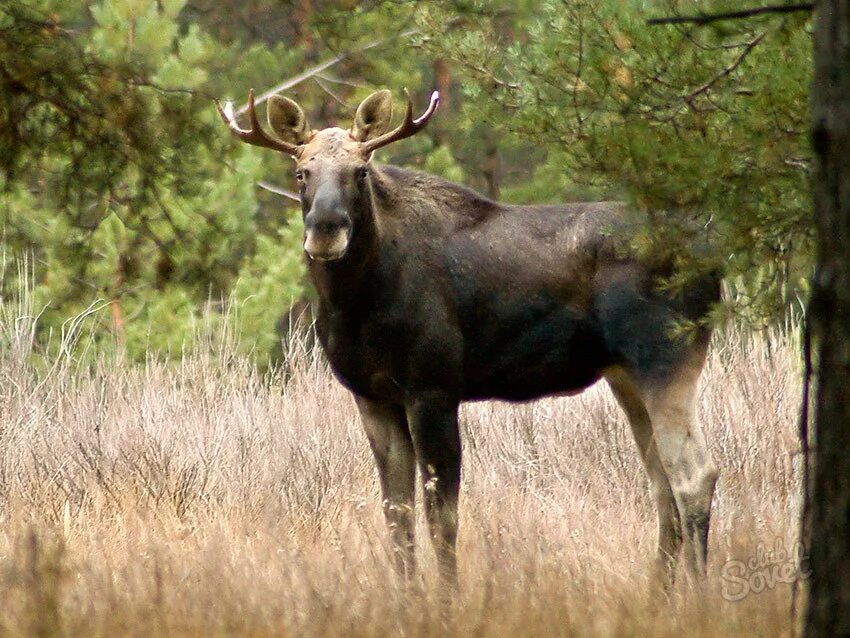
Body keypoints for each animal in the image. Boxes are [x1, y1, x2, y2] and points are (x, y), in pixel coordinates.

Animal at [217, 89, 716, 592]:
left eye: (360, 171)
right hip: (624, 375)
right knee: (662, 485)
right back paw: (656, 595)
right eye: (301, 172)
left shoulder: (433, 389)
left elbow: (442, 517)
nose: (325, 228)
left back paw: (698, 593)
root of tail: (713, 260)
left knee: (695, 476)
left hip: (666, 359)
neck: (357, 301)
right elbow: (398, 514)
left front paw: (448, 597)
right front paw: (408, 596)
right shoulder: (372, 396)